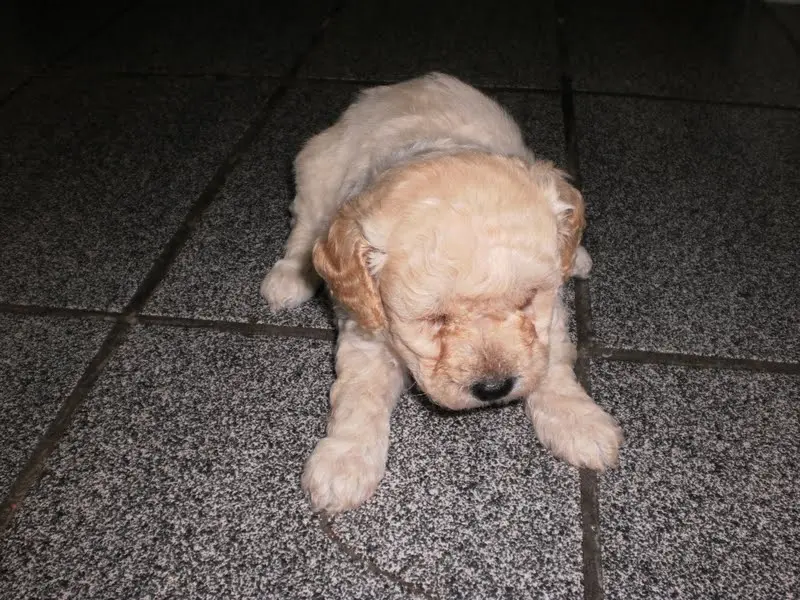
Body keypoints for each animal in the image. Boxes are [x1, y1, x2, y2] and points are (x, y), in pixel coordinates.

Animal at [261, 73, 622, 513]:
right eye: (433, 319)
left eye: (525, 300)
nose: (494, 389)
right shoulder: (367, 333)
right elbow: (359, 394)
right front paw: (343, 461)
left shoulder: (548, 318)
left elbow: (552, 366)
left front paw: (580, 422)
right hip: (315, 172)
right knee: (305, 226)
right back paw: (289, 278)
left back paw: (579, 254)